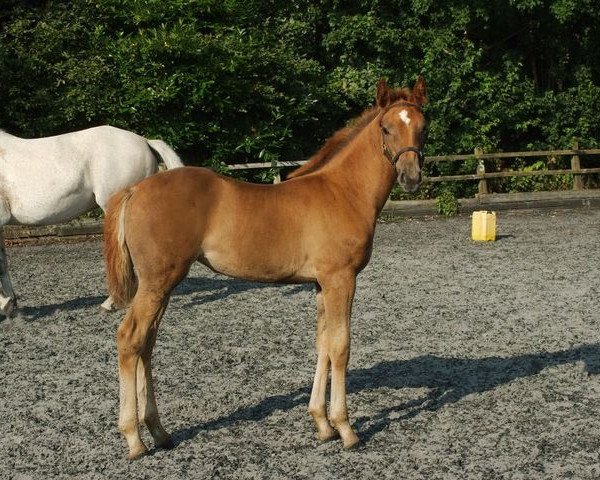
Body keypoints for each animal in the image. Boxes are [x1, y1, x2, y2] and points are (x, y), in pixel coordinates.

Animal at [105, 76, 428, 458]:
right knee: (130, 339)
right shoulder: (341, 279)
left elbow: (322, 343)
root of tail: (135, 189)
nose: (411, 177)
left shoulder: (320, 284)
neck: (344, 192)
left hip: (160, 285)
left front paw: (322, 424)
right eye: (386, 128)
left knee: (146, 343)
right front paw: (346, 429)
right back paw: (134, 439)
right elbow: (340, 347)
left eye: (422, 127)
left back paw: (159, 431)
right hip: (158, 282)